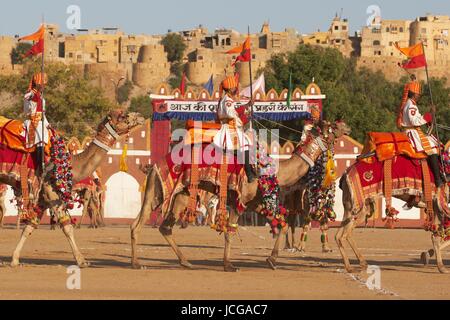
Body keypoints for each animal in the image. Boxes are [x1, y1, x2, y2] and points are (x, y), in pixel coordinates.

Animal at [0, 110, 144, 268]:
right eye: (123, 116)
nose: (140, 116)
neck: (70, 166)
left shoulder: (43, 197)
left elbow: (29, 227)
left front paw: (14, 260)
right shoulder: (52, 192)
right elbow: (67, 227)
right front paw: (82, 261)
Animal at [130, 120, 352, 272]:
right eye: (333, 125)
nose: (348, 127)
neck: (274, 172)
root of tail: (155, 165)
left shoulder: (255, 203)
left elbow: (281, 224)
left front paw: (271, 260)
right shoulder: (240, 200)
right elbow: (230, 230)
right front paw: (229, 265)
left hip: (176, 193)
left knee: (158, 226)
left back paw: (184, 261)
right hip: (164, 189)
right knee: (144, 223)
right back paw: (137, 263)